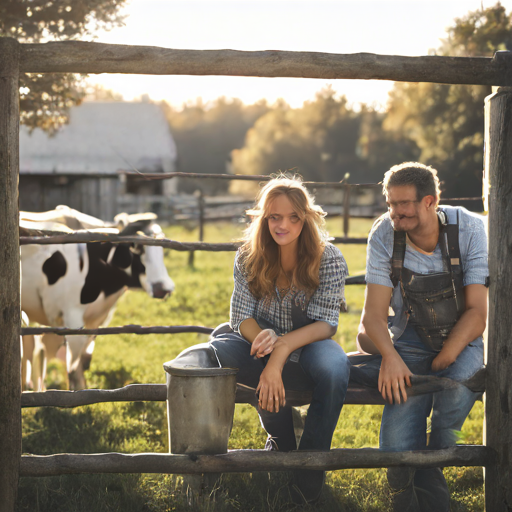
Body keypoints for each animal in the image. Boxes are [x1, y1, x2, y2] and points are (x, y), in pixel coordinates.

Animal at [21, 208, 176, 388]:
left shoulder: (95, 321)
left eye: (162, 249)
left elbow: (83, 361)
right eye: (135, 249)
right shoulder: (71, 317)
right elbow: (73, 368)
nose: (163, 288)